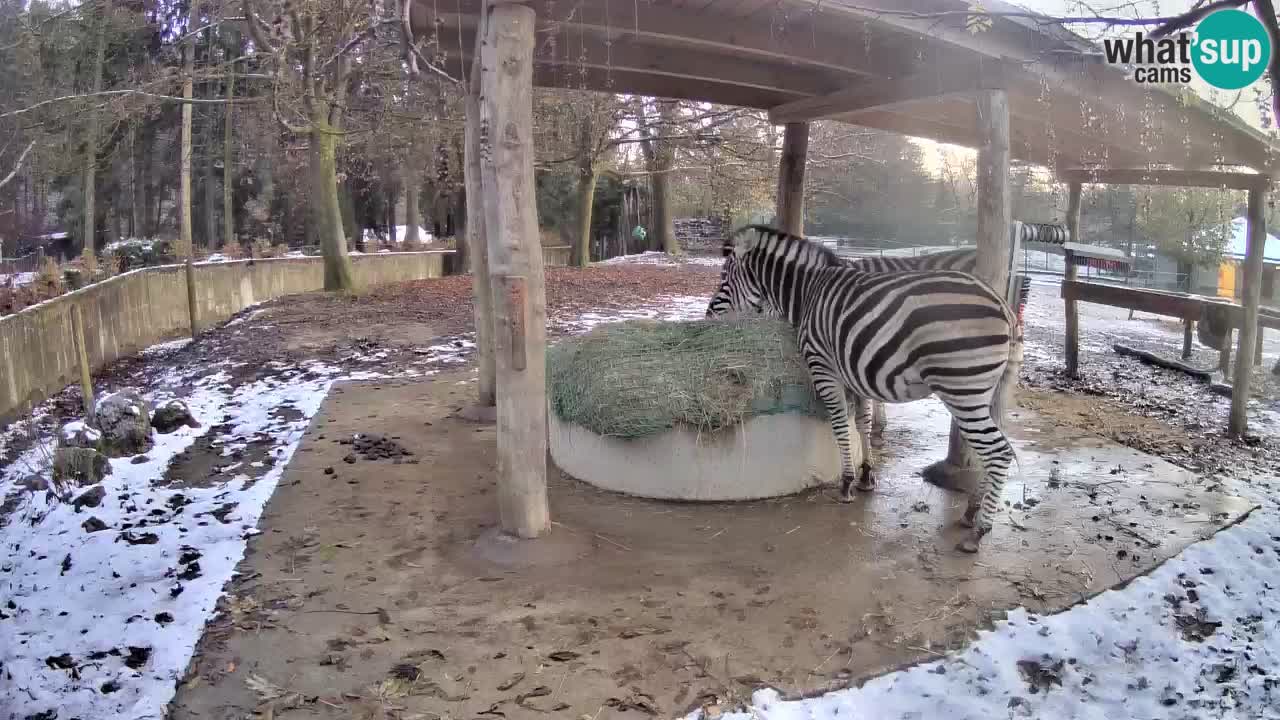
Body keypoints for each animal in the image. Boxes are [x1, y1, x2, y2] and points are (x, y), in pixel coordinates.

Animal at [711, 226, 1018, 550]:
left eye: (724, 277)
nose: (707, 314)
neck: (808, 291)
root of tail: (1002, 304)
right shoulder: (854, 372)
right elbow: (862, 422)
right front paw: (867, 476)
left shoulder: (823, 366)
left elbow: (840, 426)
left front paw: (846, 483)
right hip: (983, 392)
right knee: (989, 450)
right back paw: (972, 510)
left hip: (962, 389)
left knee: (999, 451)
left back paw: (979, 531)